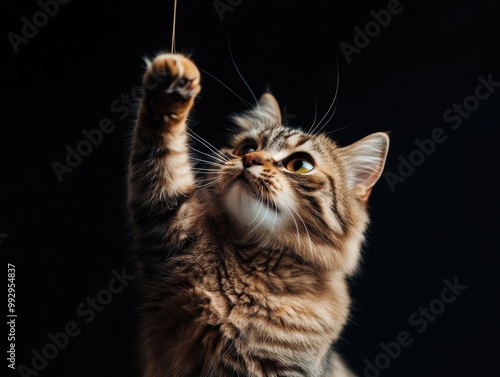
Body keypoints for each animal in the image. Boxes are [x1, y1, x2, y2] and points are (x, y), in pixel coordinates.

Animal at [126, 53, 390, 376]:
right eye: (247, 147)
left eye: (300, 165)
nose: (249, 159)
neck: (255, 265)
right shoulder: (167, 218)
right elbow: (162, 152)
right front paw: (170, 80)